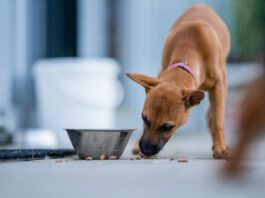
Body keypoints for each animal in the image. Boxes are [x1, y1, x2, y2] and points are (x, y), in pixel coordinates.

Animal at [126, 4, 231, 159]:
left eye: (168, 127)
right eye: (144, 118)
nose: (145, 150)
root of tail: (201, 4)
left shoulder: (218, 86)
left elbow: (218, 121)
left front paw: (220, 149)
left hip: (224, 84)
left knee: (214, 114)